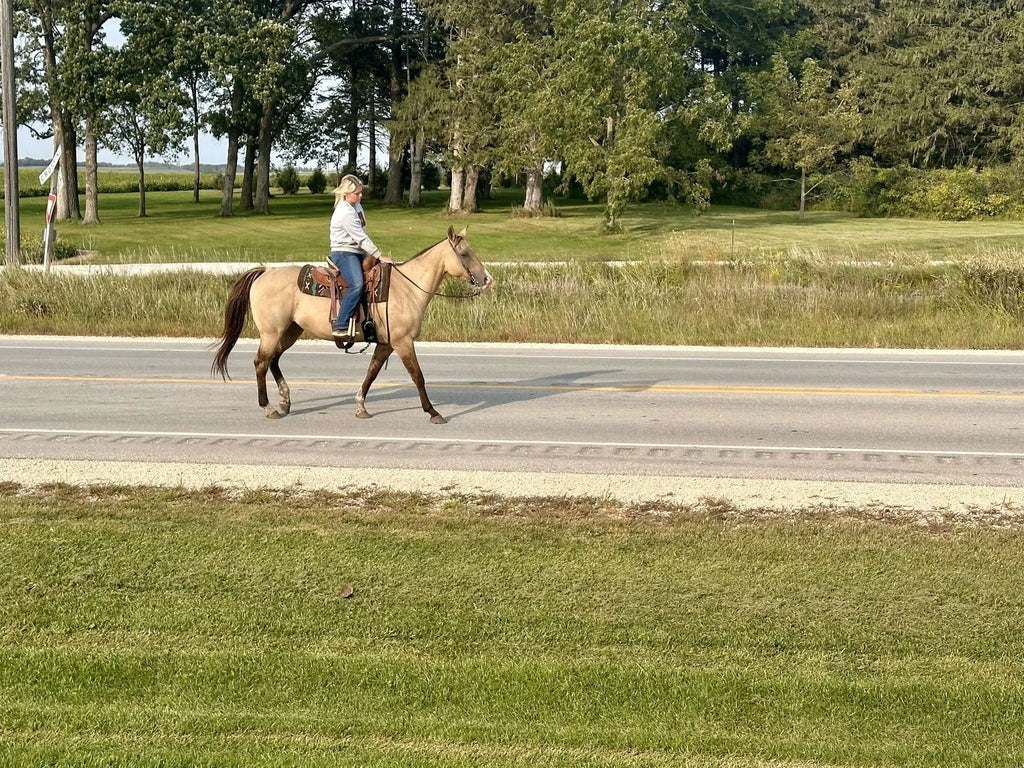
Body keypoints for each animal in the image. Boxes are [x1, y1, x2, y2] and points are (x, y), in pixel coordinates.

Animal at [211, 226, 493, 423]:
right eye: (465, 254)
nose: (487, 279)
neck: (406, 288)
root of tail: (264, 272)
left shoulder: (386, 344)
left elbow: (372, 373)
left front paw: (361, 406)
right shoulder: (403, 342)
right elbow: (418, 377)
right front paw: (433, 412)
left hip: (291, 330)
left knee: (274, 360)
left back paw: (285, 401)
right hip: (272, 332)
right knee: (261, 362)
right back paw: (269, 407)